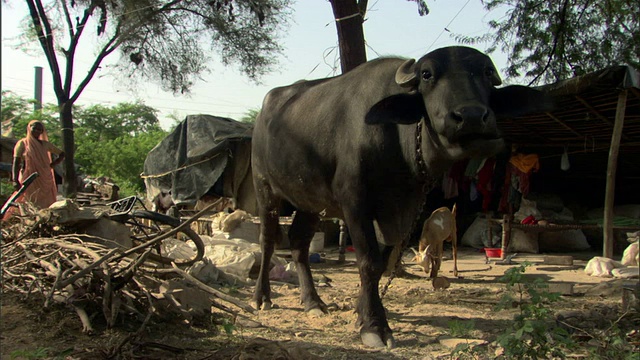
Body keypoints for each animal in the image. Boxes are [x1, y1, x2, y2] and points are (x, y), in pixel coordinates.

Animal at [250, 46, 552, 348]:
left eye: (488, 72)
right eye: (427, 74)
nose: (472, 116)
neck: (398, 143)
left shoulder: (401, 209)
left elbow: (383, 262)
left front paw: (362, 312)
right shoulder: (355, 204)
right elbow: (369, 262)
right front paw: (374, 325)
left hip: (311, 202)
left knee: (299, 243)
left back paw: (313, 302)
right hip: (265, 189)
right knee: (267, 241)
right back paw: (262, 297)